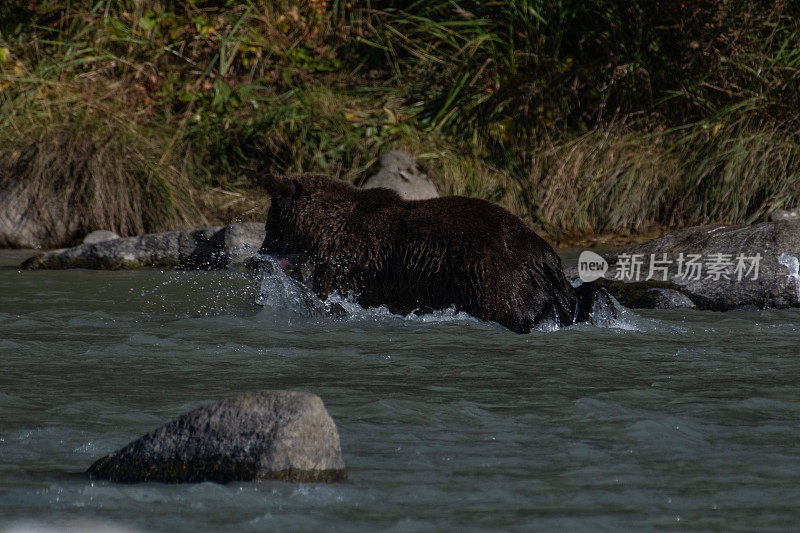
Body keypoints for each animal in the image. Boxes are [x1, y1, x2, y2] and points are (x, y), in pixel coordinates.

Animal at [260, 175, 604, 332]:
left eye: (269, 222)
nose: (262, 250)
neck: (322, 231)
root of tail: (545, 253)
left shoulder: (346, 263)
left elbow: (331, 294)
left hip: (493, 274)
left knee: (510, 307)